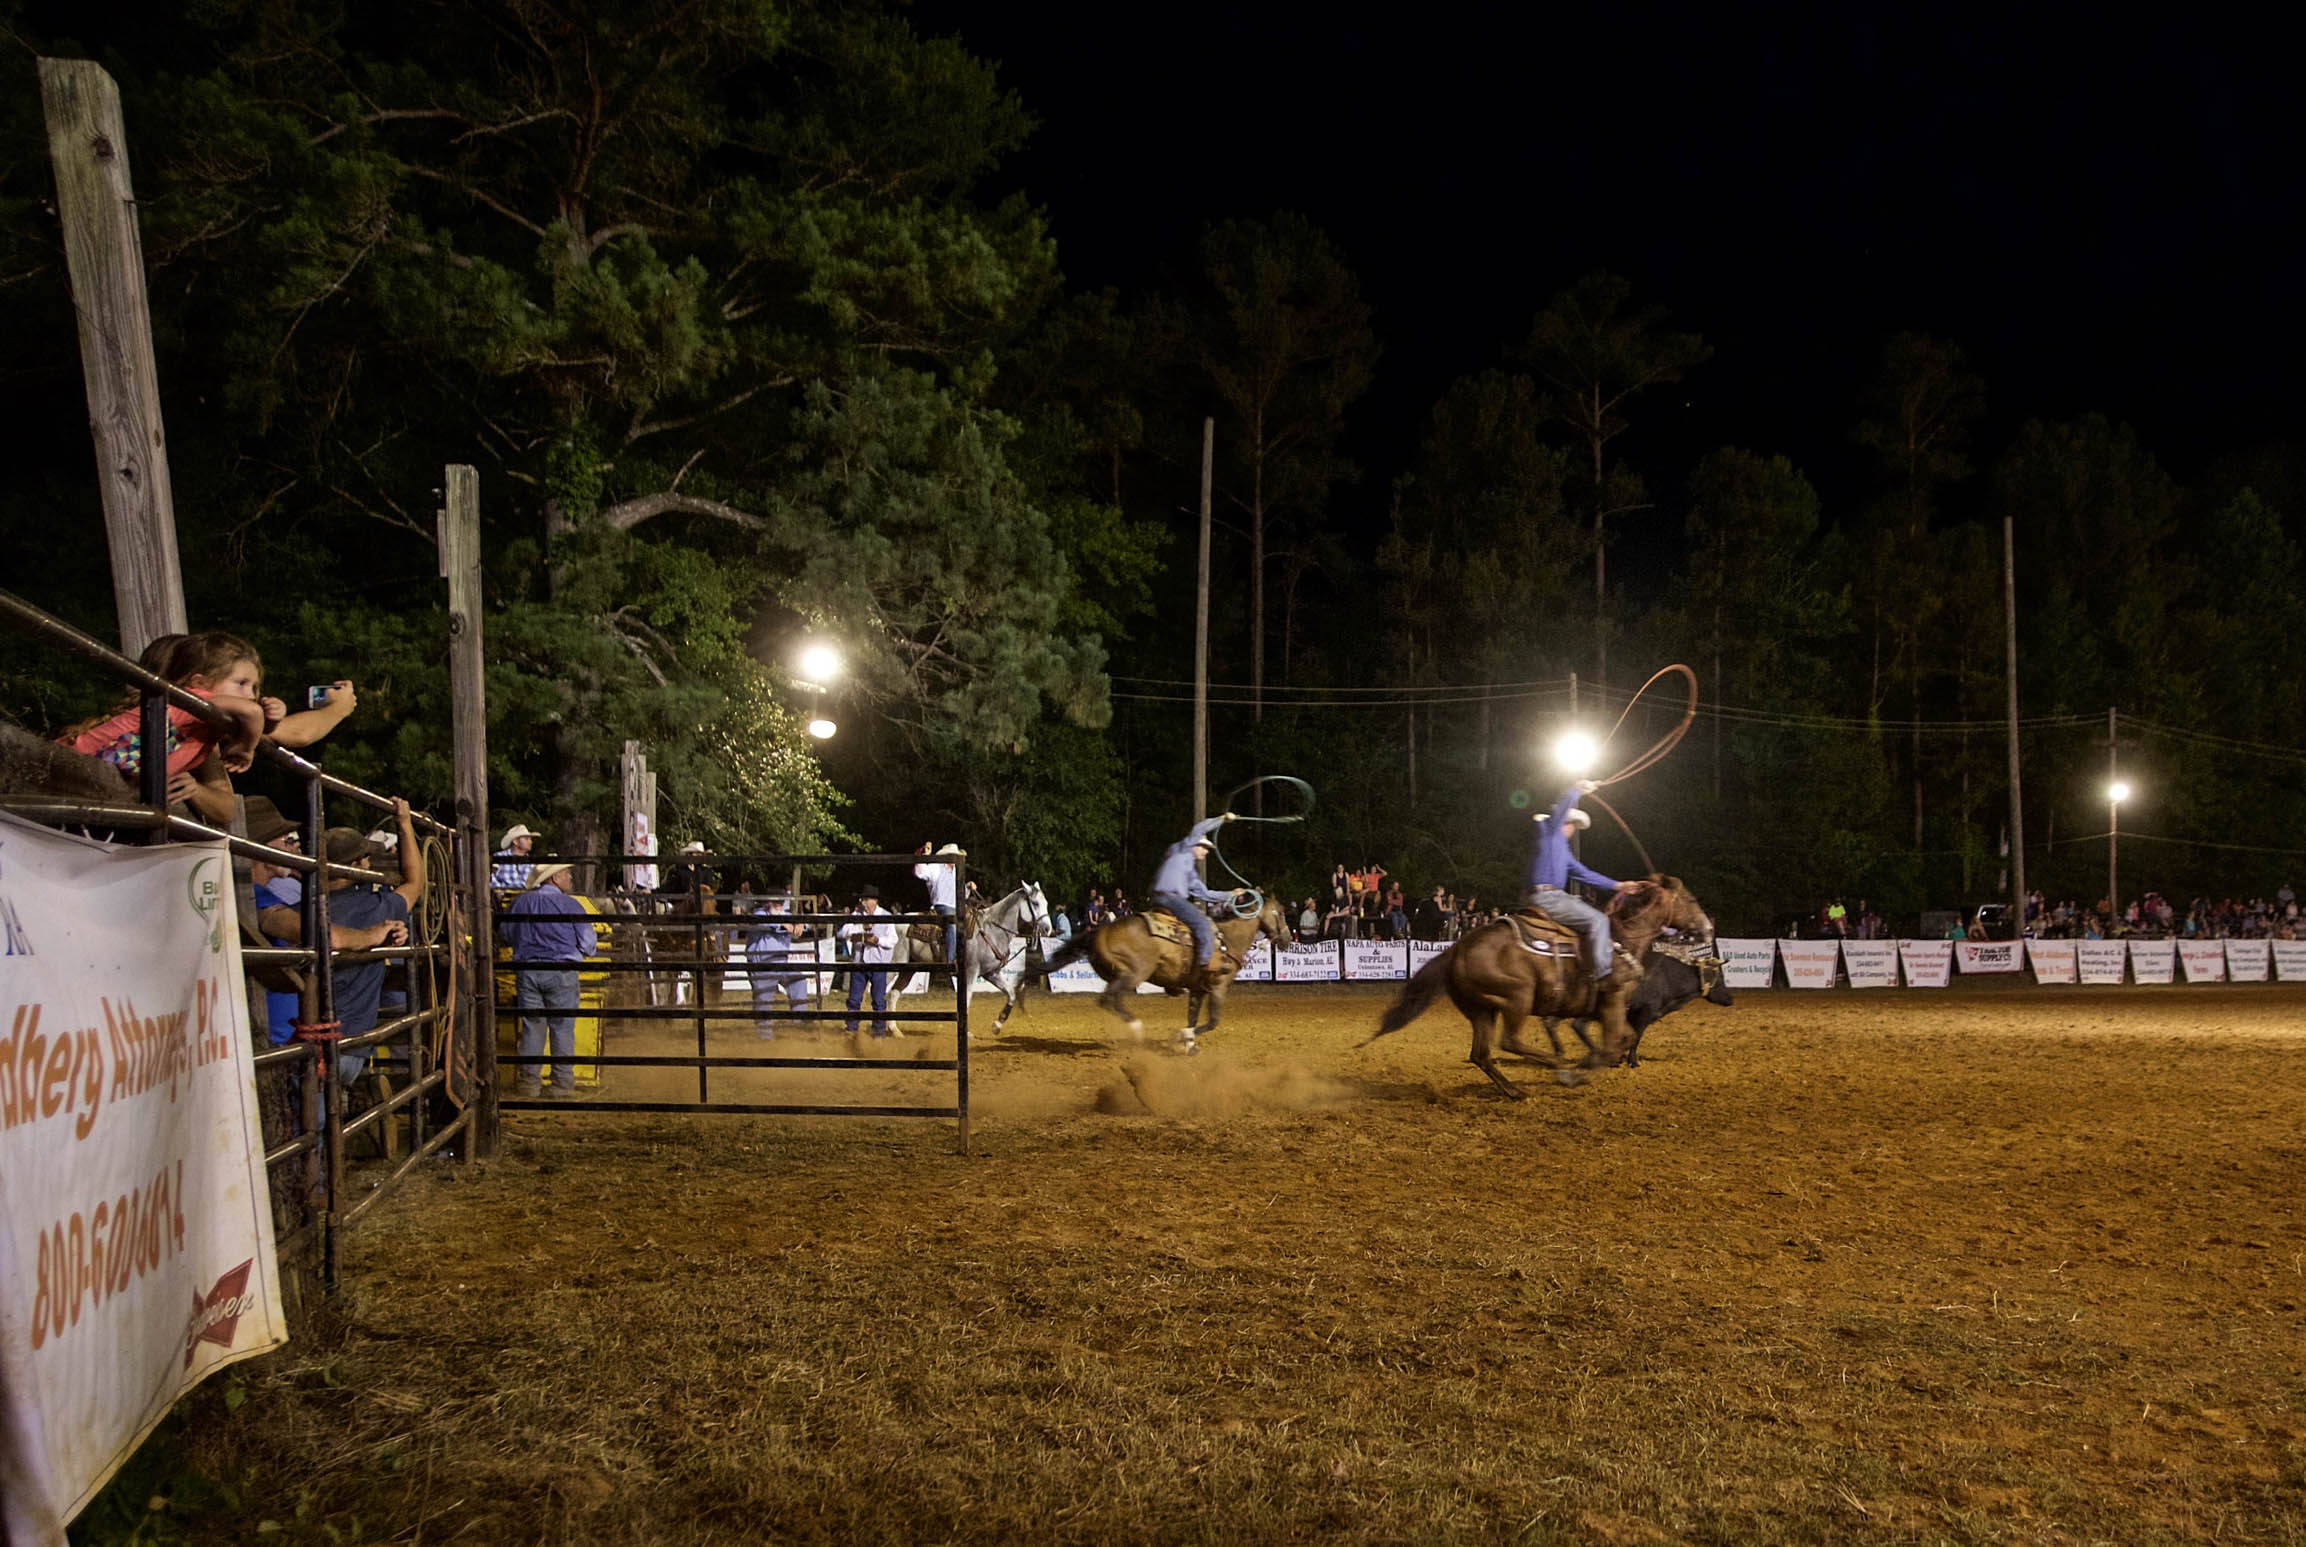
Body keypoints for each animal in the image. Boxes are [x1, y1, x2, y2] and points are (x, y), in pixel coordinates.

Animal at [885, 876, 1056, 1032]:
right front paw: (966, 1032)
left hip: (908, 968)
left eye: (1046, 903)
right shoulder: (971, 973)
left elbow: (1011, 994)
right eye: (1035, 903)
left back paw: (894, 1030)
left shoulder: (991, 973)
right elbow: (966, 1002)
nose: (1048, 929)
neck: (992, 930)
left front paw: (998, 1024)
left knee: (893, 994)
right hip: (893, 965)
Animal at [1033, 889, 1291, 1060]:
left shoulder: (1198, 989)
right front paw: (1181, 1036)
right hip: (1132, 973)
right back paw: (1136, 1029)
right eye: (1280, 913)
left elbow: (1193, 1016)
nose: (1287, 939)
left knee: (1109, 999)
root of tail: (1100, 931)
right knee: (1109, 999)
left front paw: (1190, 1045)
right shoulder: (1219, 986)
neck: (1227, 941)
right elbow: (1213, 1021)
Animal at [1365, 876, 1715, 1097]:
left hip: (1481, 1009)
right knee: (1509, 1042)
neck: (1622, 938)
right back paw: (1558, 1066)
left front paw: (1590, 1062)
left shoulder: (1605, 1008)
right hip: (1517, 997)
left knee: (1481, 1054)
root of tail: (1458, 948)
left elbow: (1617, 1038)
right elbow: (1616, 1040)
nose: (1708, 927)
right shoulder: (1613, 1001)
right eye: (1691, 899)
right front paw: (1583, 1069)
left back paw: (1515, 1090)